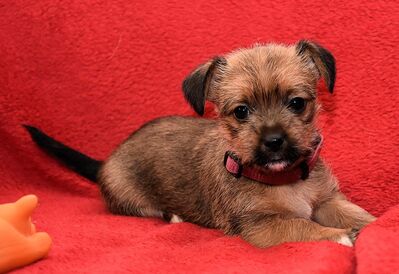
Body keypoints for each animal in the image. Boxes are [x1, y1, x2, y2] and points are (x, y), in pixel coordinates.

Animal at [26, 40, 376, 248]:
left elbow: (354, 213)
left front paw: (372, 225)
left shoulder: (328, 201)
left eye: (297, 103)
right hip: (127, 197)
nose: (274, 141)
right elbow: (302, 227)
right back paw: (173, 216)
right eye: (241, 111)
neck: (284, 179)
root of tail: (106, 161)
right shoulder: (261, 227)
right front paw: (339, 235)